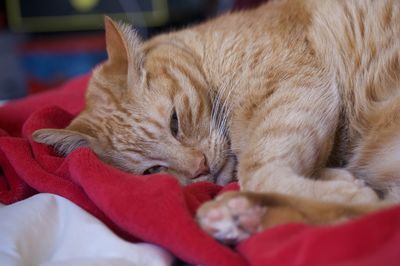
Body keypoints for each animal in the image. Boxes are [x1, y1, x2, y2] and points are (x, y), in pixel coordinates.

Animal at [33, 0, 400, 243]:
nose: (200, 167)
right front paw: (338, 181)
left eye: (175, 122)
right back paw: (237, 217)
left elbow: (259, 170)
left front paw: (341, 187)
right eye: (152, 171)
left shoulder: (299, 88)